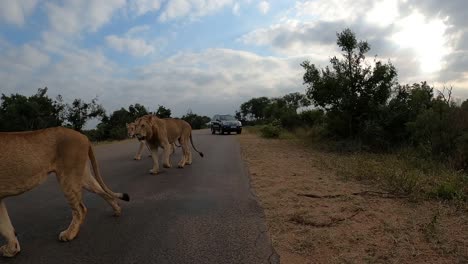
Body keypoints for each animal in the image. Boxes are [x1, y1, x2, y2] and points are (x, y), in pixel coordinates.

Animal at [0, 127, 129, 256]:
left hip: (68, 177)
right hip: (83, 176)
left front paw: (9, 250)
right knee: (103, 192)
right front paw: (12, 249)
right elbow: (6, 227)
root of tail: (84, 136)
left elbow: (3, 226)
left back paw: (69, 234)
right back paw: (117, 210)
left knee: (80, 209)